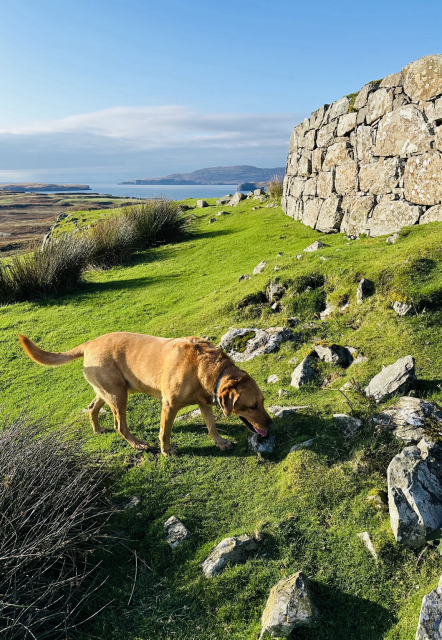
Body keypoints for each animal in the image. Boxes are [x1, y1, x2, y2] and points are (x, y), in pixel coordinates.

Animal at [19, 330, 272, 456]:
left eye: (262, 401)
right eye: (251, 406)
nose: (270, 425)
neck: (209, 368)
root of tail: (89, 343)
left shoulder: (204, 402)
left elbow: (211, 425)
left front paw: (219, 442)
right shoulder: (169, 405)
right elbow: (165, 432)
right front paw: (166, 450)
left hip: (108, 390)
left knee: (92, 408)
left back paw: (97, 428)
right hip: (118, 395)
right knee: (120, 426)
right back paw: (138, 444)